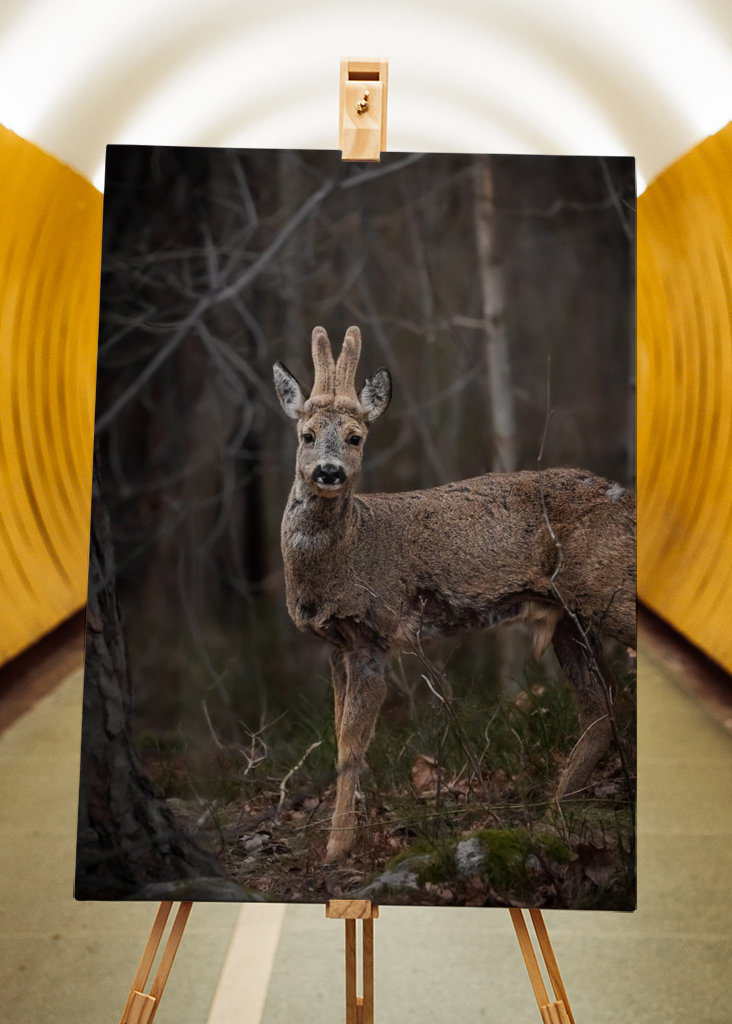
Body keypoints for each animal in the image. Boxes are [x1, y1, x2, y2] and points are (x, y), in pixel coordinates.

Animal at [273, 326, 636, 863]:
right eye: (307, 435)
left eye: (357, 437)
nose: (329, 472)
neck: (349, 549)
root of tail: (628, 502)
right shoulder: (337, 644)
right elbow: (340, 735)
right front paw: (346, 834)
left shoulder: (375, 632)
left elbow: (353, 744)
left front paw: (337, 847)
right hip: (572, 618)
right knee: (603, 706)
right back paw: (554, 816)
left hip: (608, 589)